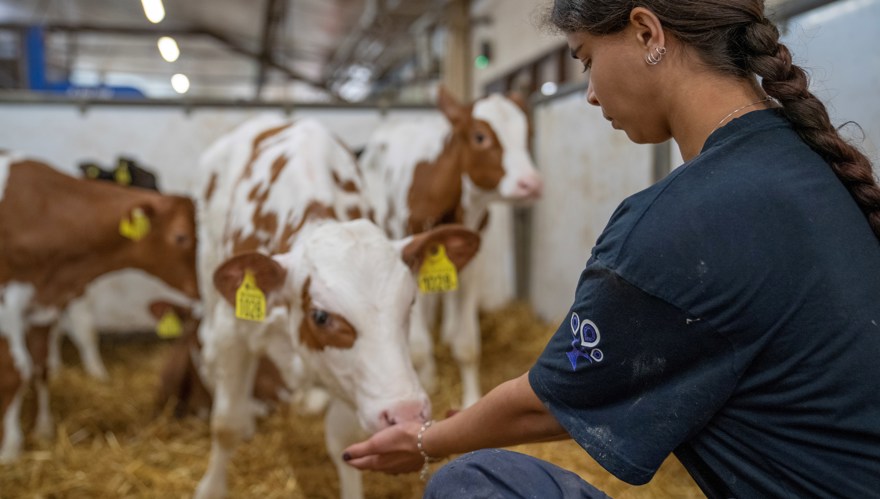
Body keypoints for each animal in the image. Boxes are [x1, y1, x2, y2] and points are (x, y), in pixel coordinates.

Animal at [0, 154, 199, 462]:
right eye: (181, 237)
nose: (205, 283)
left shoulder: (44, 304)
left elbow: (41, 365)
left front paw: (43, 430)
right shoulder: (8, 302)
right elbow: (14, 370)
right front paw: (10, 447)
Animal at [194, 116, 482, 499]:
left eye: (409, 303)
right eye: (320, 316)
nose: (405, 413)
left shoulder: (350, 381)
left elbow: (343, 442)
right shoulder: (233, 334)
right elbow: (225, 425)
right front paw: (211, 487)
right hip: (208, 266)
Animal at [360, 86, 544, 410]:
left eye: (528, 132)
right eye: (480, 136)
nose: (531, 184)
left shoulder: (473, 256)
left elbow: (467, 344)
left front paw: (470, 400)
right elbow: (418, 345)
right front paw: (429, 384)